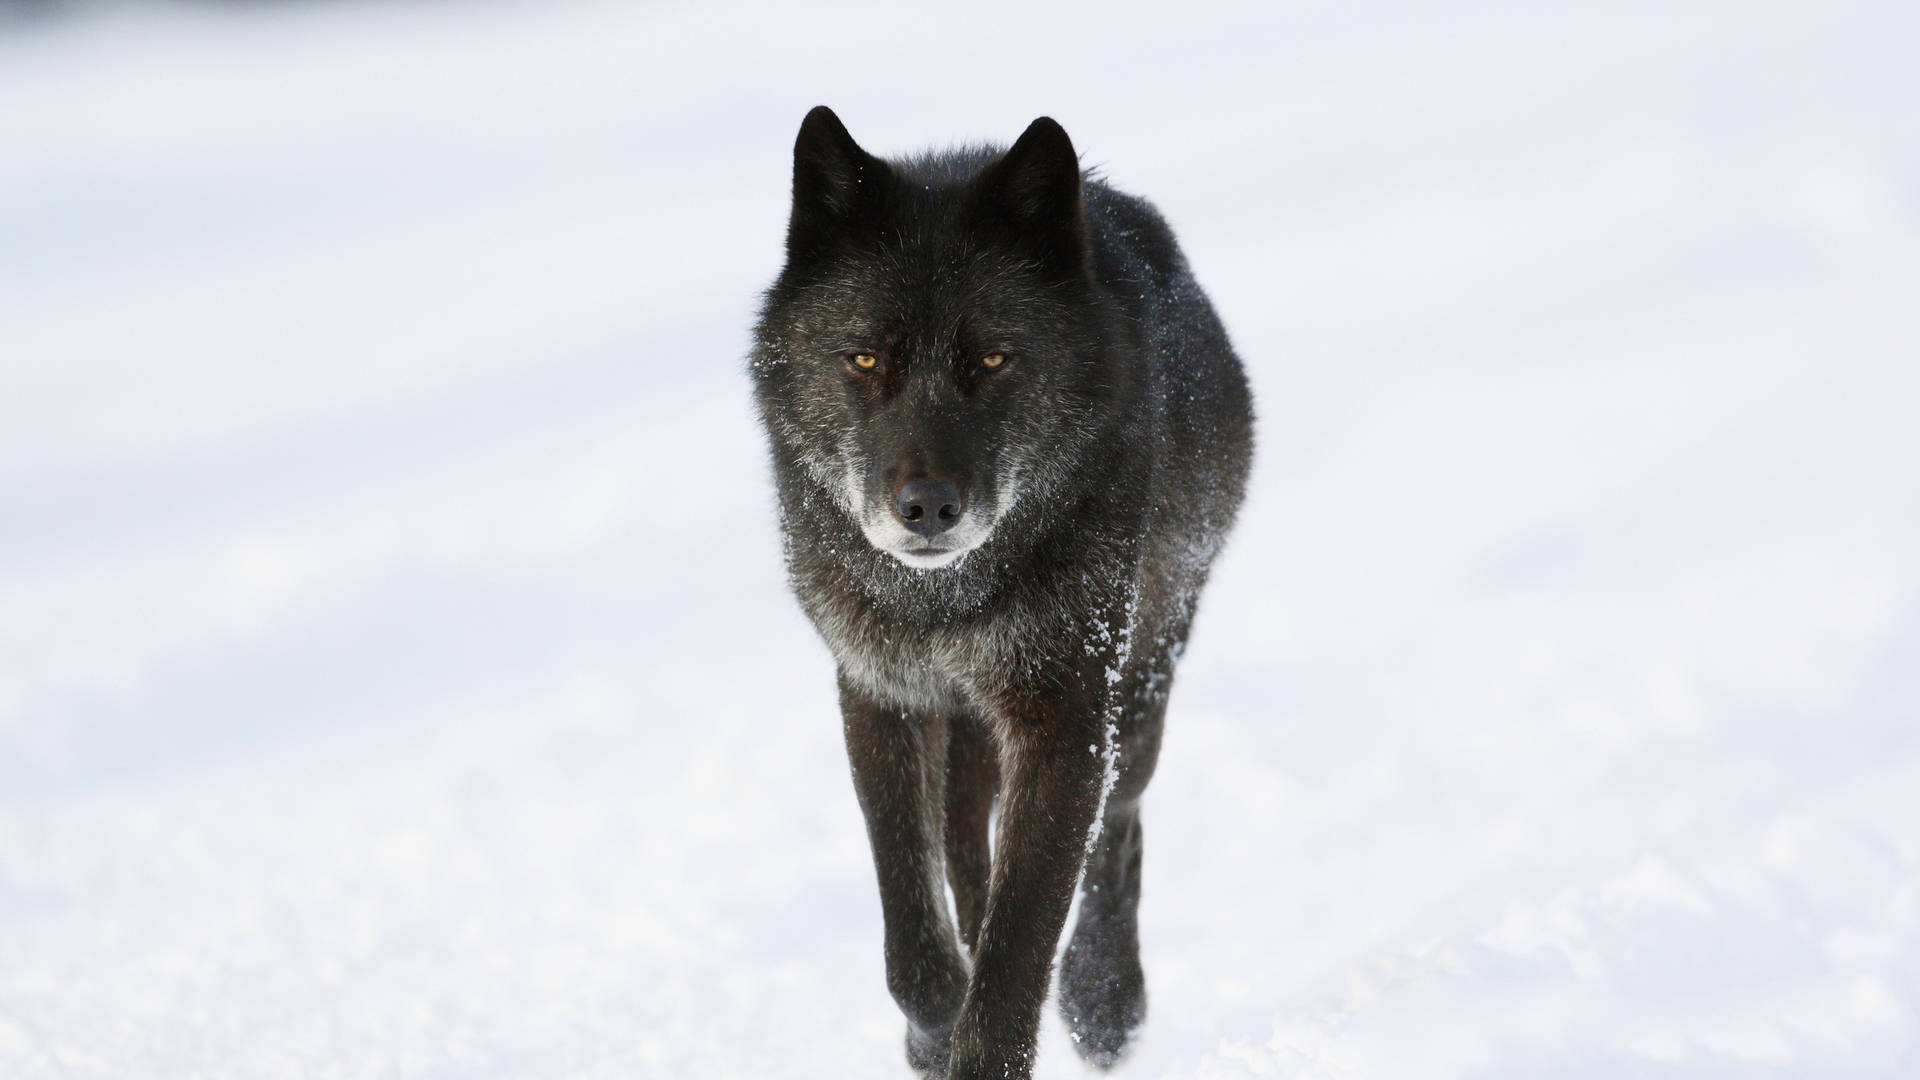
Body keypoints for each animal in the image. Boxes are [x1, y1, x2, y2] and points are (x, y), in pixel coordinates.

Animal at [749, 106, 1253, 1079]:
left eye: (991, 358)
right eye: (863, 358)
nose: (927, 508)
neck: (943, 605)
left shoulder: (1064, 714)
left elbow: (1021, 943)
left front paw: (1000, 1028)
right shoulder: (883, 693)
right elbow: (916, 934)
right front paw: (932, 1028)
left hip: (1140, 681)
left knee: (1118, 823)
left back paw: (1103, 999)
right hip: (973, 726)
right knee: (966, 848)